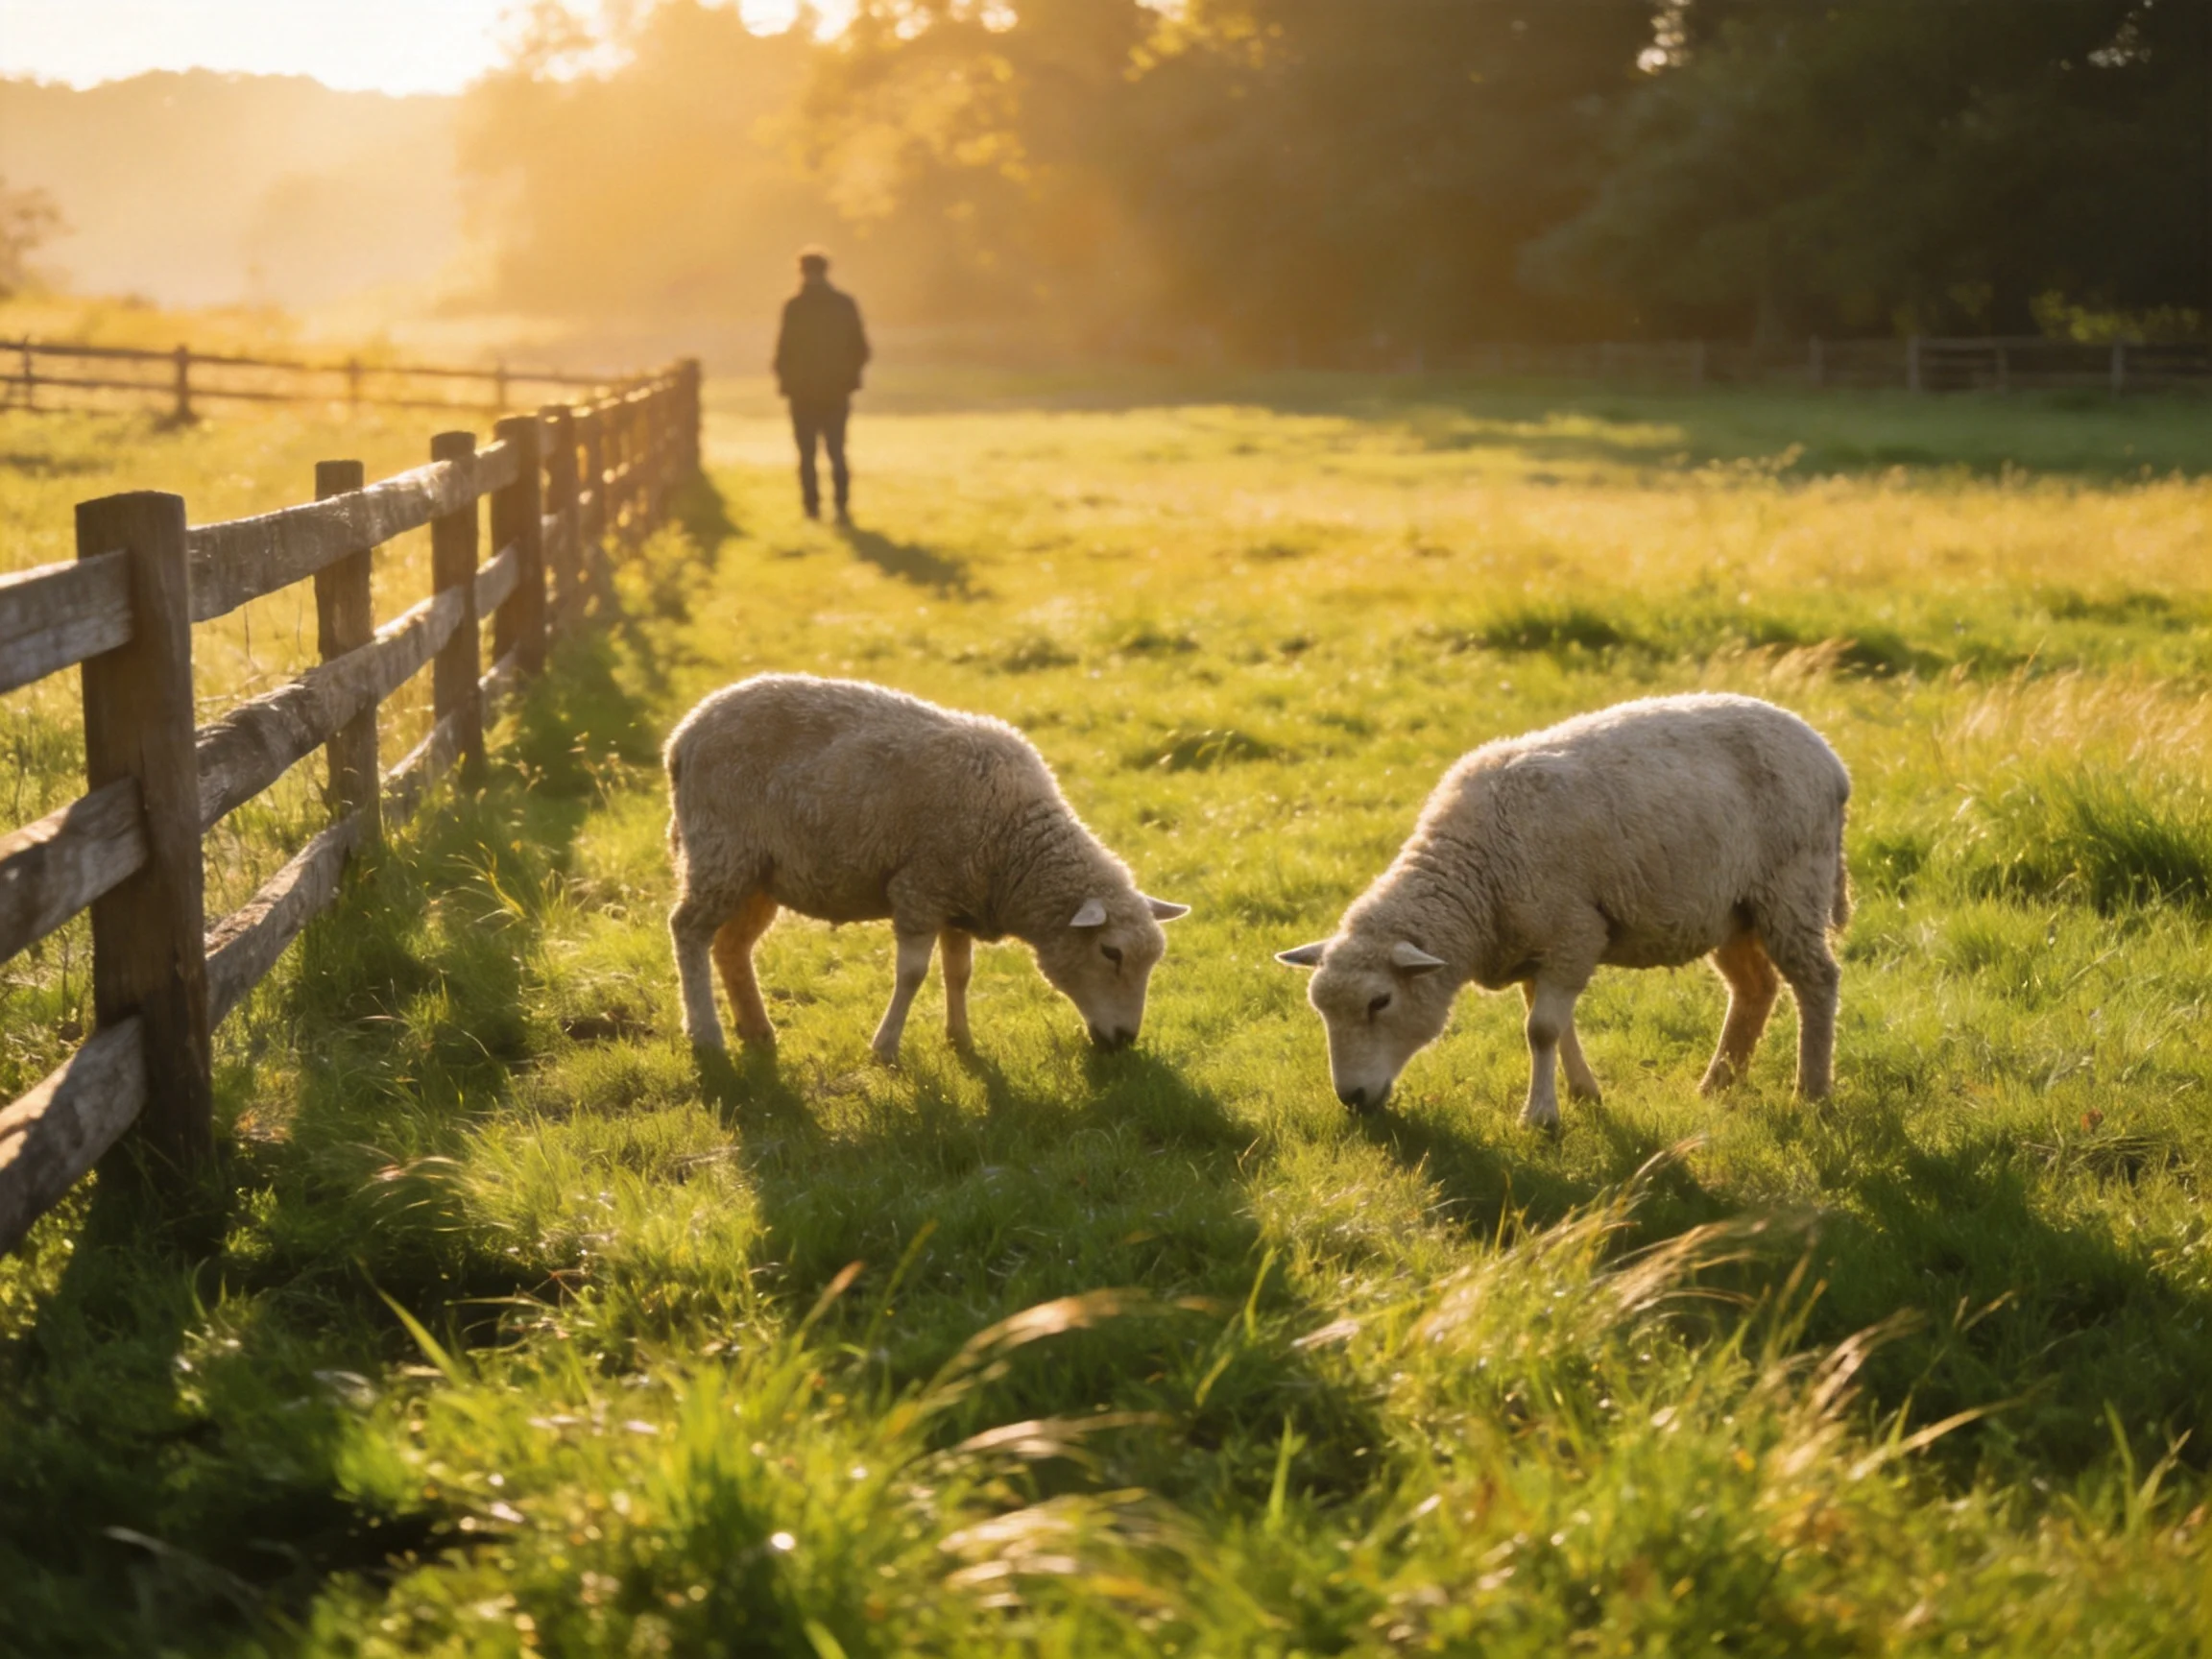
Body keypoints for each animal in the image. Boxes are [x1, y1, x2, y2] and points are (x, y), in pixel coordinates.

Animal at [666, 673, 1188, 1062]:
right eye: (1110, 952)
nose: (1125, 1040)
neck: (1012, 842)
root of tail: (685, 733)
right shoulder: (920, 888)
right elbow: (913, 974)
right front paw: (885, 1049)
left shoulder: (958, 895)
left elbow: (959, 973)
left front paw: (961, 1040)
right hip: (720, 850)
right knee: (688, 931)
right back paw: (706, 1034)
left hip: (757, 873)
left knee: (731, 947)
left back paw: (756, 1030)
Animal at [1277, 693, 1850, 1130]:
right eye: (1320, 1010)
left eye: (1380, 1002)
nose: (1350, 1099)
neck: (1476, 874)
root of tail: (1827, 755)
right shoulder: (1538, 947)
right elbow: (1552, 1024)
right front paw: (1582, 1094)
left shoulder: (1574, 932)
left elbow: (1542, 1030)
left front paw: (1540, 1116)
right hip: (1733, 909)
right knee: (1755, 989)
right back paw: (1717, 1085)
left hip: (1792, 887)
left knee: (1817, 981)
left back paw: (1812, 1092)